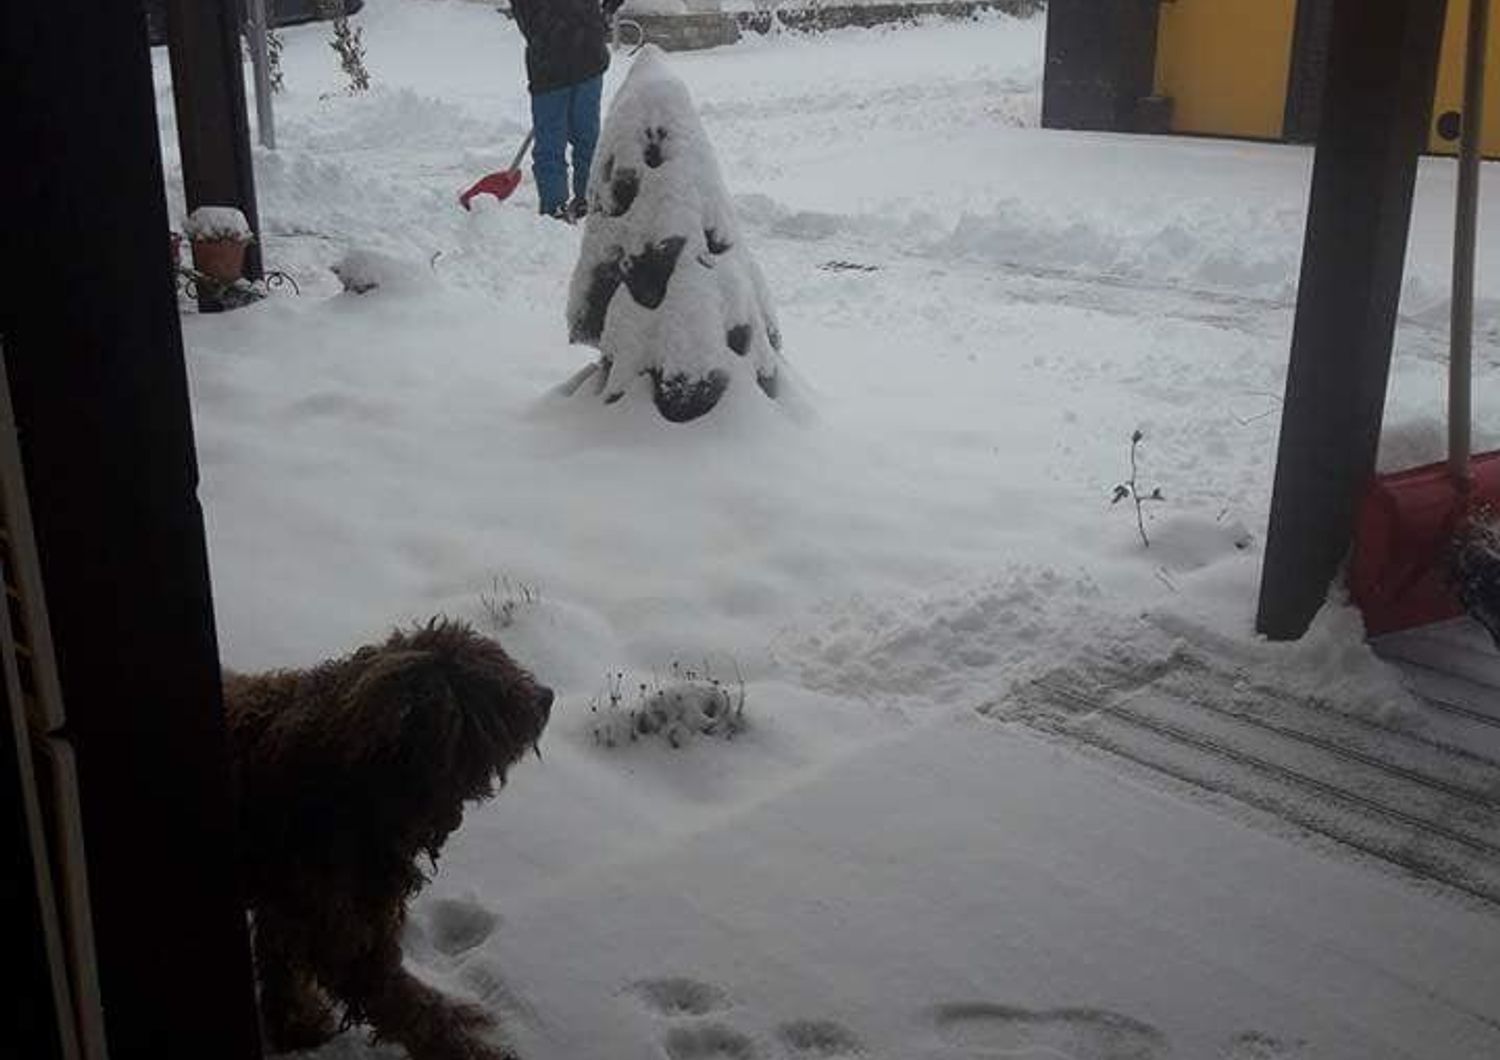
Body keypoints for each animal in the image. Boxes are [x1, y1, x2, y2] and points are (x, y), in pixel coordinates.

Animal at [222, 617, 552, 1060]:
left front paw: (297, 1027)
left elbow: (284, 971)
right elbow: (414, 1009)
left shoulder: (289, 907)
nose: (547, 697)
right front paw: (469, 1046)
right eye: (497, 689)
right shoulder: (345, 936)